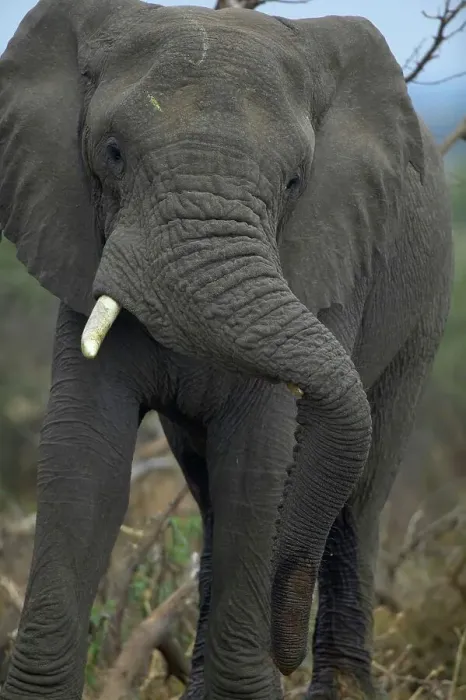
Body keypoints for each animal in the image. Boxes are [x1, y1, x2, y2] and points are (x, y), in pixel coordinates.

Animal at [0, 0, 453, 697]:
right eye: (112, 153)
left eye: (294, 182)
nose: (282, 652)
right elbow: (85, 460)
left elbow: (260, 464)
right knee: (210, 493)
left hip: (423, 310)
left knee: (360, 498)